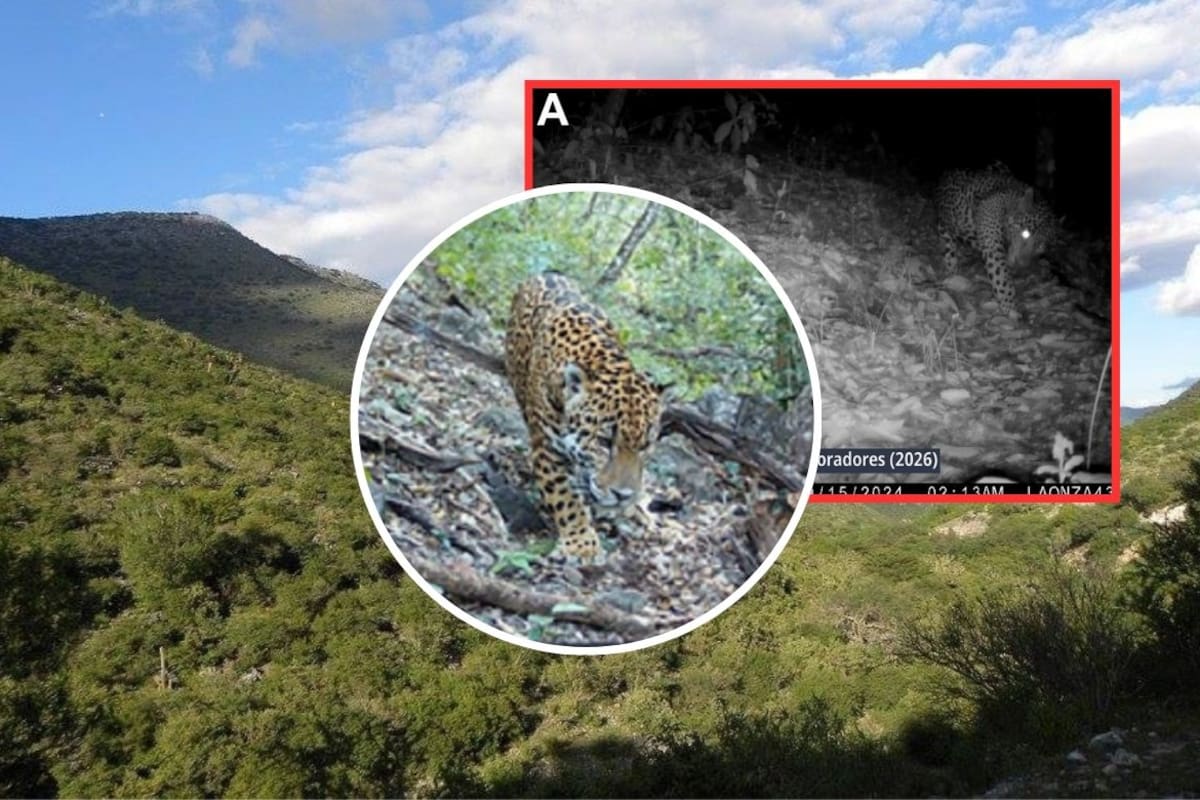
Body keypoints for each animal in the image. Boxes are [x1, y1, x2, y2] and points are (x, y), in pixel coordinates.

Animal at [504, 272, 664, 561]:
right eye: (603, 441)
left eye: (645, 445)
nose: (623, 495)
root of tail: (547, 272)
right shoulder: (547, 448)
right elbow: (565, 497)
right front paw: (582, 544)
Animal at [935, 165, 1057, 317]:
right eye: (1025, 233)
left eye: (1040, 246)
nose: (1022, 265)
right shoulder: (992, 243)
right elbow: (1001, 275)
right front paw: (1010, 306)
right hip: (944, 223)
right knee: (948, 244)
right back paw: (951, 268)